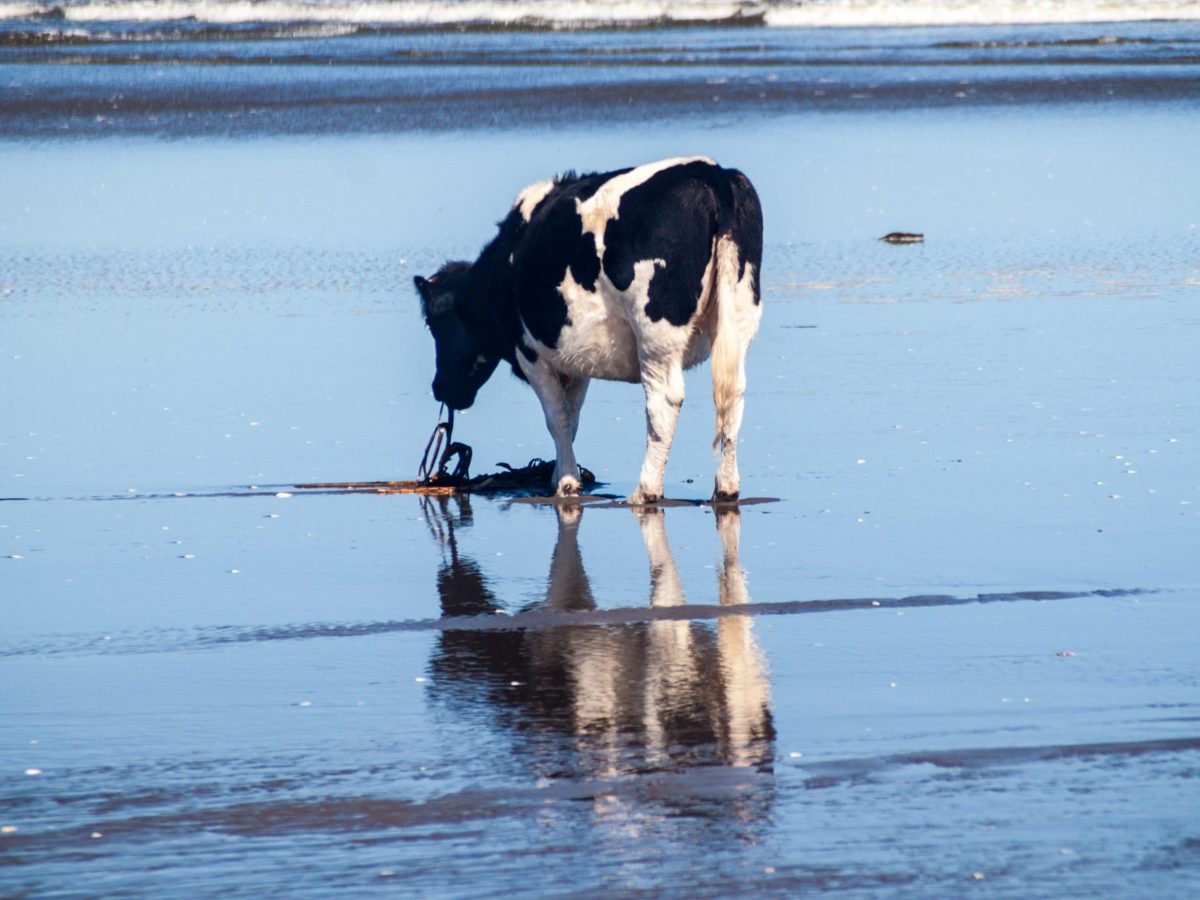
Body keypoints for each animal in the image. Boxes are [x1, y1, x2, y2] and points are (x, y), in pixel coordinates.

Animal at [417, 157, 763, 508]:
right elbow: (572, 418)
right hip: (740, 316)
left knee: (663, 401)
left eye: (432, 323)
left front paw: (567, 484)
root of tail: (711, 172)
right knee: (734, 393)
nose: (439, 388)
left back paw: (645, 491)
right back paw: (726, 488)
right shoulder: (576, 361)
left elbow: (557, 418)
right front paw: (559, 475)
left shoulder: (527, 350)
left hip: (656, 333)